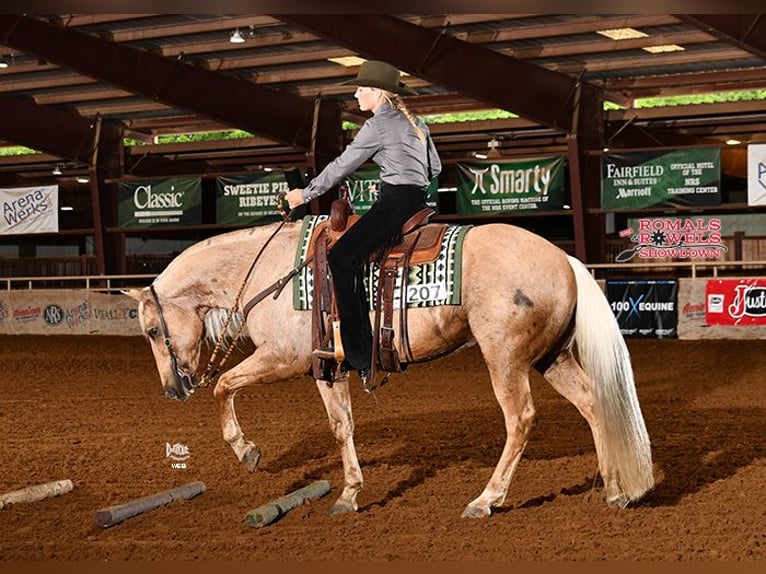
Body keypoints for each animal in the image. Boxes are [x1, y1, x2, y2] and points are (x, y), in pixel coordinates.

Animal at [124, 219, 656, 516]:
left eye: (151, 331)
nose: (172, 389)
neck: (270, 270)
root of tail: (564, 259)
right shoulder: (327, 369)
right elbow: (342, 426)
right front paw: (349, 494)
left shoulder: (282, 358)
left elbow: (224, 386)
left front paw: (246, 451)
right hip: (552, 357)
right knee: (593, 405)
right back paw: (614, 490)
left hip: (505, 359)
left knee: (520, 420)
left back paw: (486, 500)